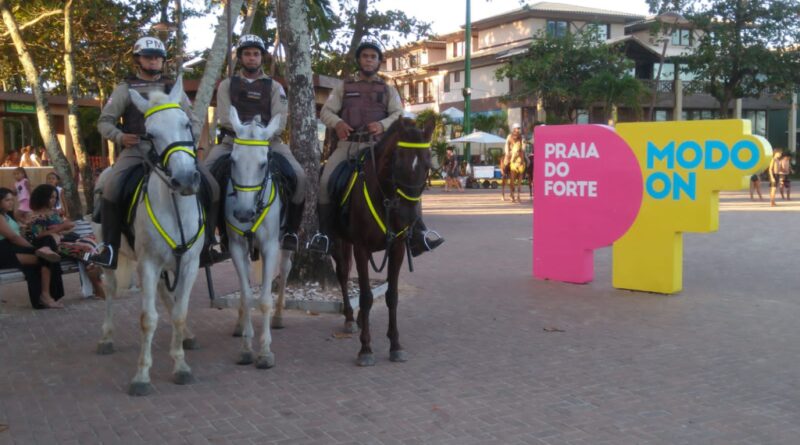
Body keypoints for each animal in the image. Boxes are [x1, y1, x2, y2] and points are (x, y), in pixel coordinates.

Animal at [96, 77, 205, 396]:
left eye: (186, 123)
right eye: (150, 134)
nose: (185, 179)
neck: (175, 207)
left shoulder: (189, 264)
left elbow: (179, 312)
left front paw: (180, 365)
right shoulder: (147, 264)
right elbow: (148, 319)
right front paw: (142, 375)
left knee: (165, 297)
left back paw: (187, 337)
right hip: (114, 256)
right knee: (109, 290)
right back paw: (106, 338)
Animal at [225, 107, 294, 368]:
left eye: (263, 164)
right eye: (232, 161)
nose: (244, 213)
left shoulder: (270, 246)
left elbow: (264, 299)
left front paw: (265, 351)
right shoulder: (236, 246)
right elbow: (246, 296)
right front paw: (246, 347)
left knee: (285, 270)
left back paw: (279, 317)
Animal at [330, 116, 434, 366]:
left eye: (428, 166)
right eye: (398, 164)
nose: (409, 218)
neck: (385, 194)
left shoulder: (397, 247)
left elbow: (391, 295)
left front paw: (395, 345)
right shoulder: (359, 247)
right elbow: (366, 296)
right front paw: (366, 348)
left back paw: (358, 319)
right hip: (340, 241)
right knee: (343, 274)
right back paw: (350, 318)